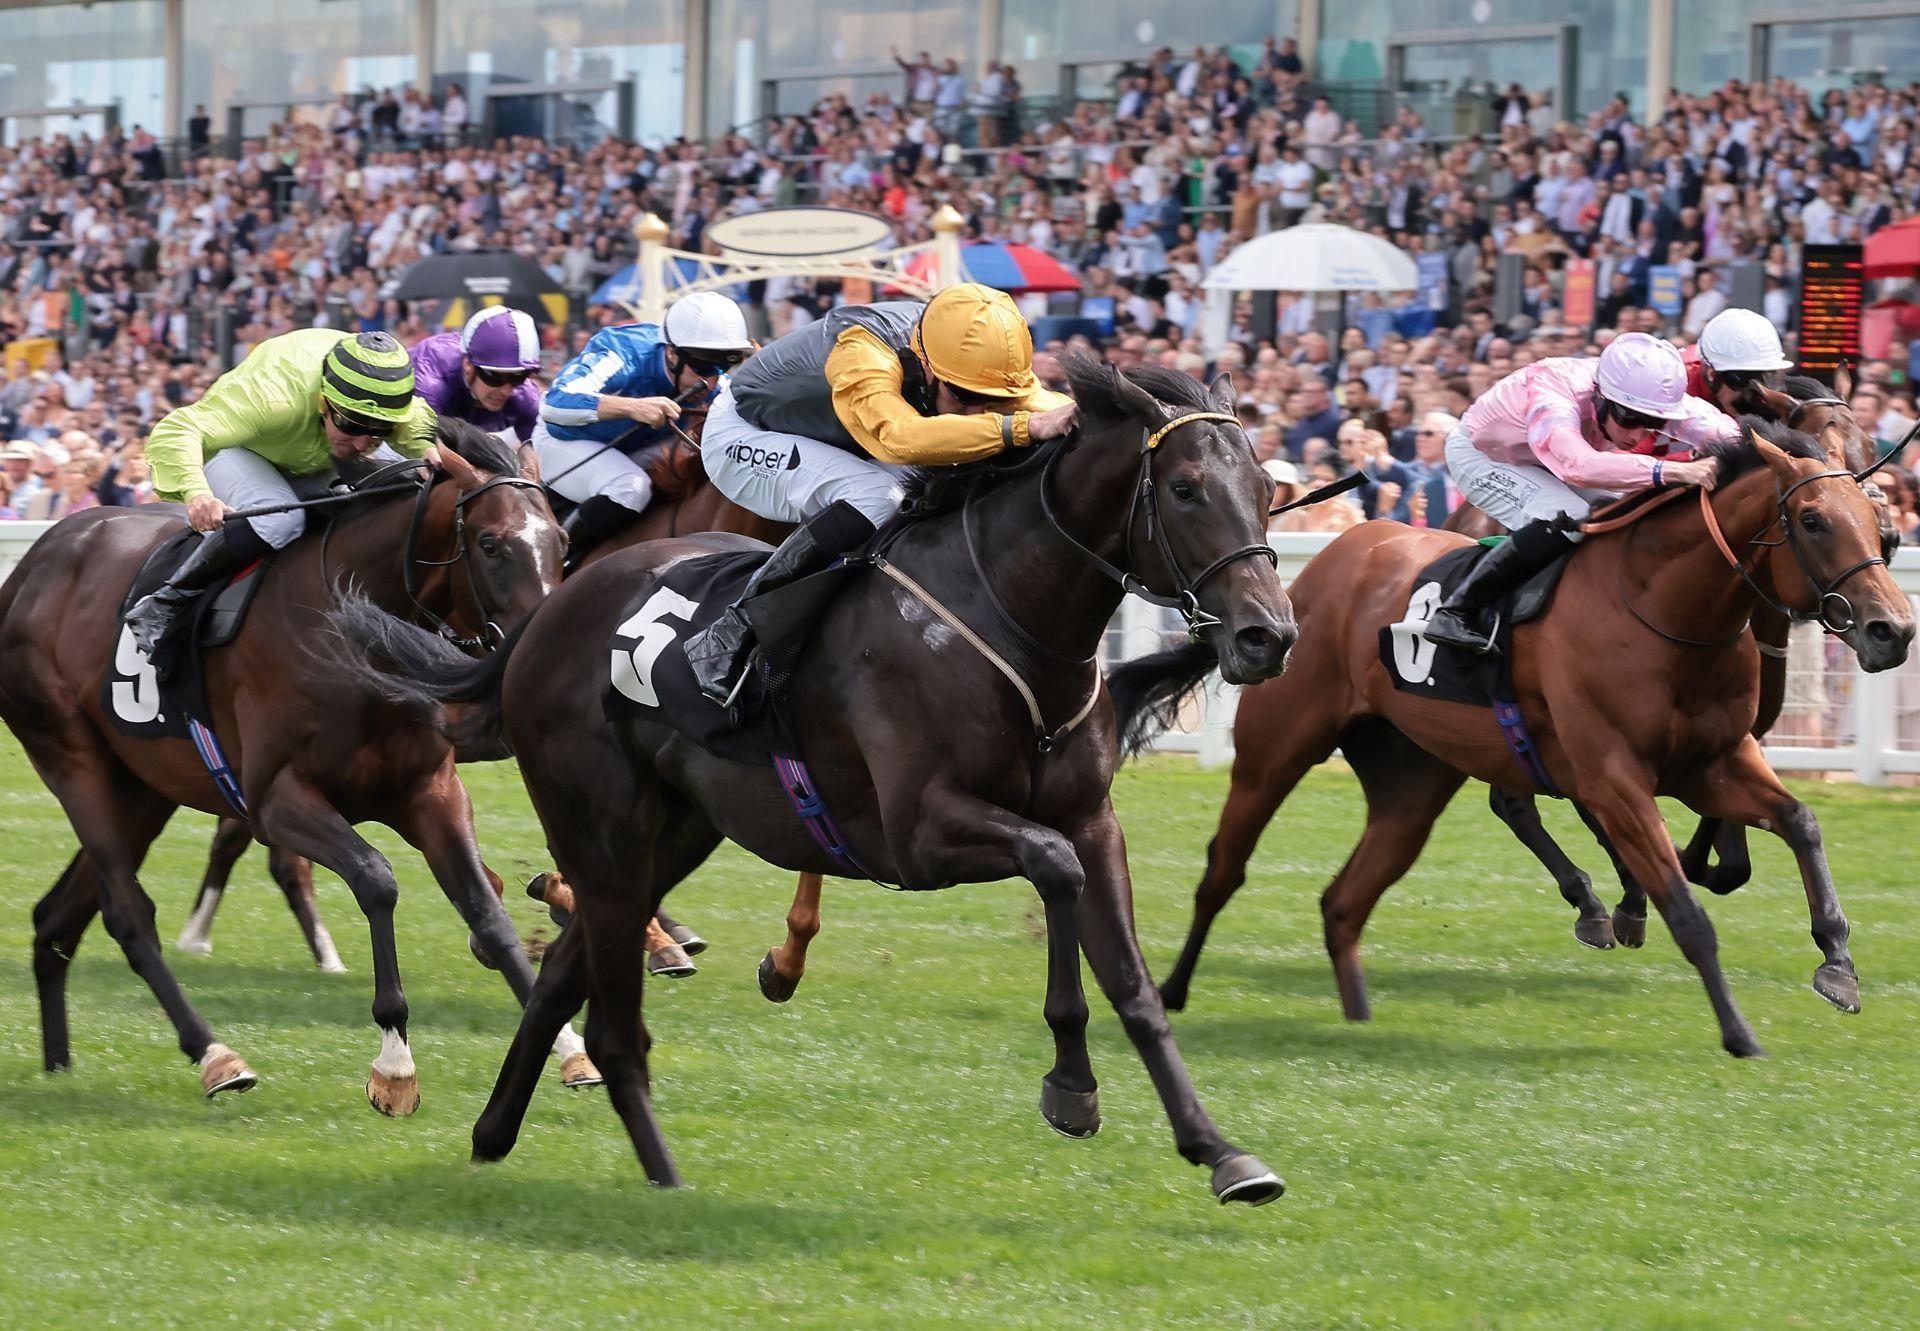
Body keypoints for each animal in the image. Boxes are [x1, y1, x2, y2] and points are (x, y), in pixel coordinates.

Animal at [0, 420, 568, 1106]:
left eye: (562, 539)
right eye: (490, 543)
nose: (539, 651)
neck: (353, 627)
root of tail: (30, 568)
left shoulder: (429, 791)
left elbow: (486, 906)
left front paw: (570, 1049)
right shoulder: (275, 800)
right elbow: (376, 879)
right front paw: (394, 1062)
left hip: (140, 788)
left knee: (58, 916)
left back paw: (59, 1061)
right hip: (70, 757)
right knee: (127, 915)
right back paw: (215, 1053)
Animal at [322, 361, 1297, 1206]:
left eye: (1265, 488)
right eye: (1185, 489)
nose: (1267, 635)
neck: (1005, 615)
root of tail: (546, 612)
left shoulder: (1093, 819)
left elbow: (1133, 983)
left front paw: (1220, 1150)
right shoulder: (921, 832)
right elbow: (1052, 868)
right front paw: (1070, 1083)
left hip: (673, 832)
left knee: (568, 974)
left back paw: (495, 1135)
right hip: (601, 825)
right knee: (610, 1014)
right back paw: (664, 1180)